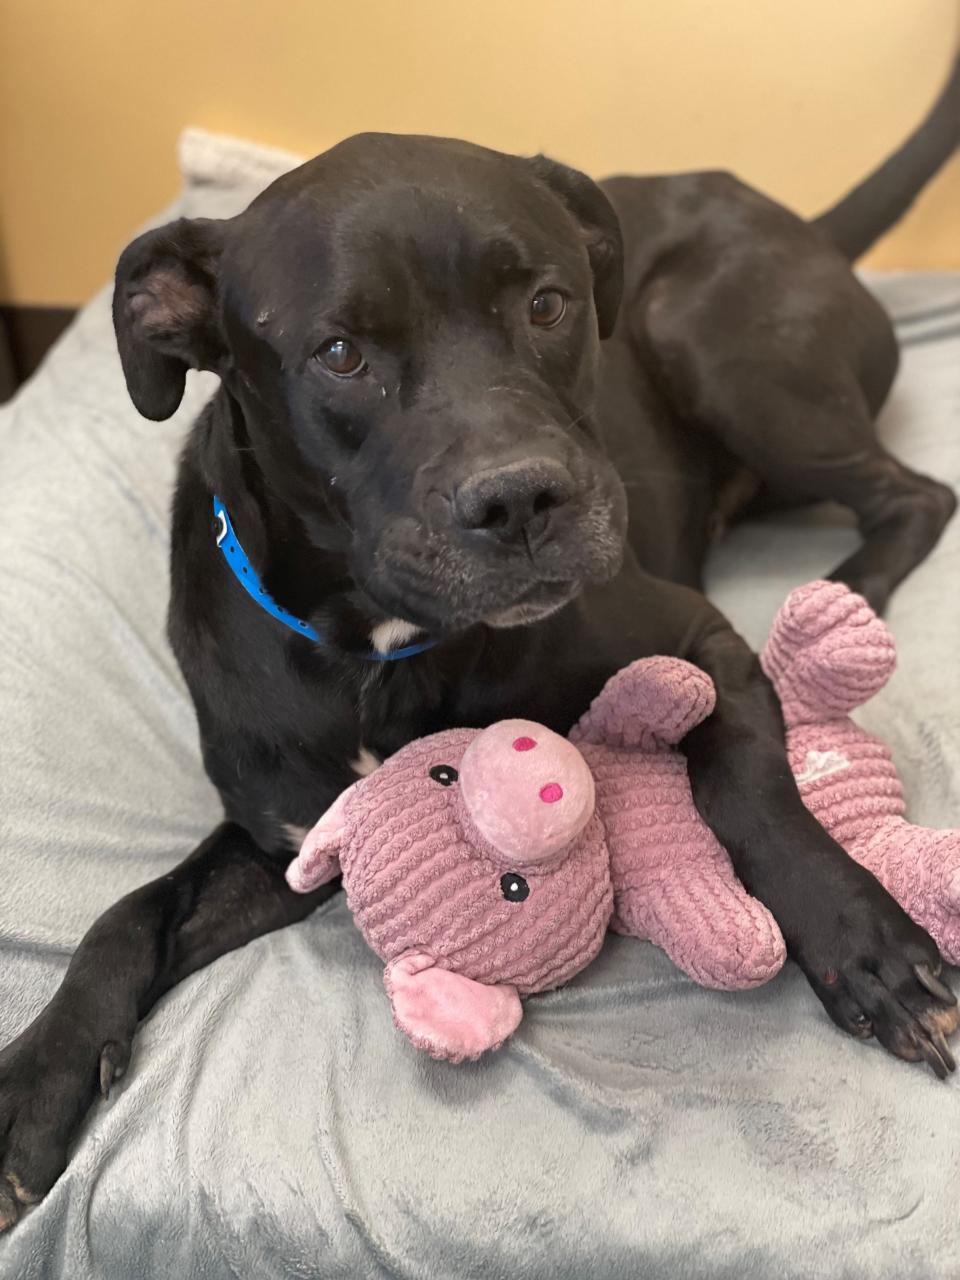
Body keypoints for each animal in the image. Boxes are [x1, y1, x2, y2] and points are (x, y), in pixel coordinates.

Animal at [1, 60, 960, 1228]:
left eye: (547, 304)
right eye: (339, 352)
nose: (522, 499)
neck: (374, 647)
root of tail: (797, 220)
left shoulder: (700, 638)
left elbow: (755, 794)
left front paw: (863, 939)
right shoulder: (289, 837)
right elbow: (133, 911)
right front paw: (35, 1075)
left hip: (718, 345)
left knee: (915, 493)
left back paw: (846, 595)